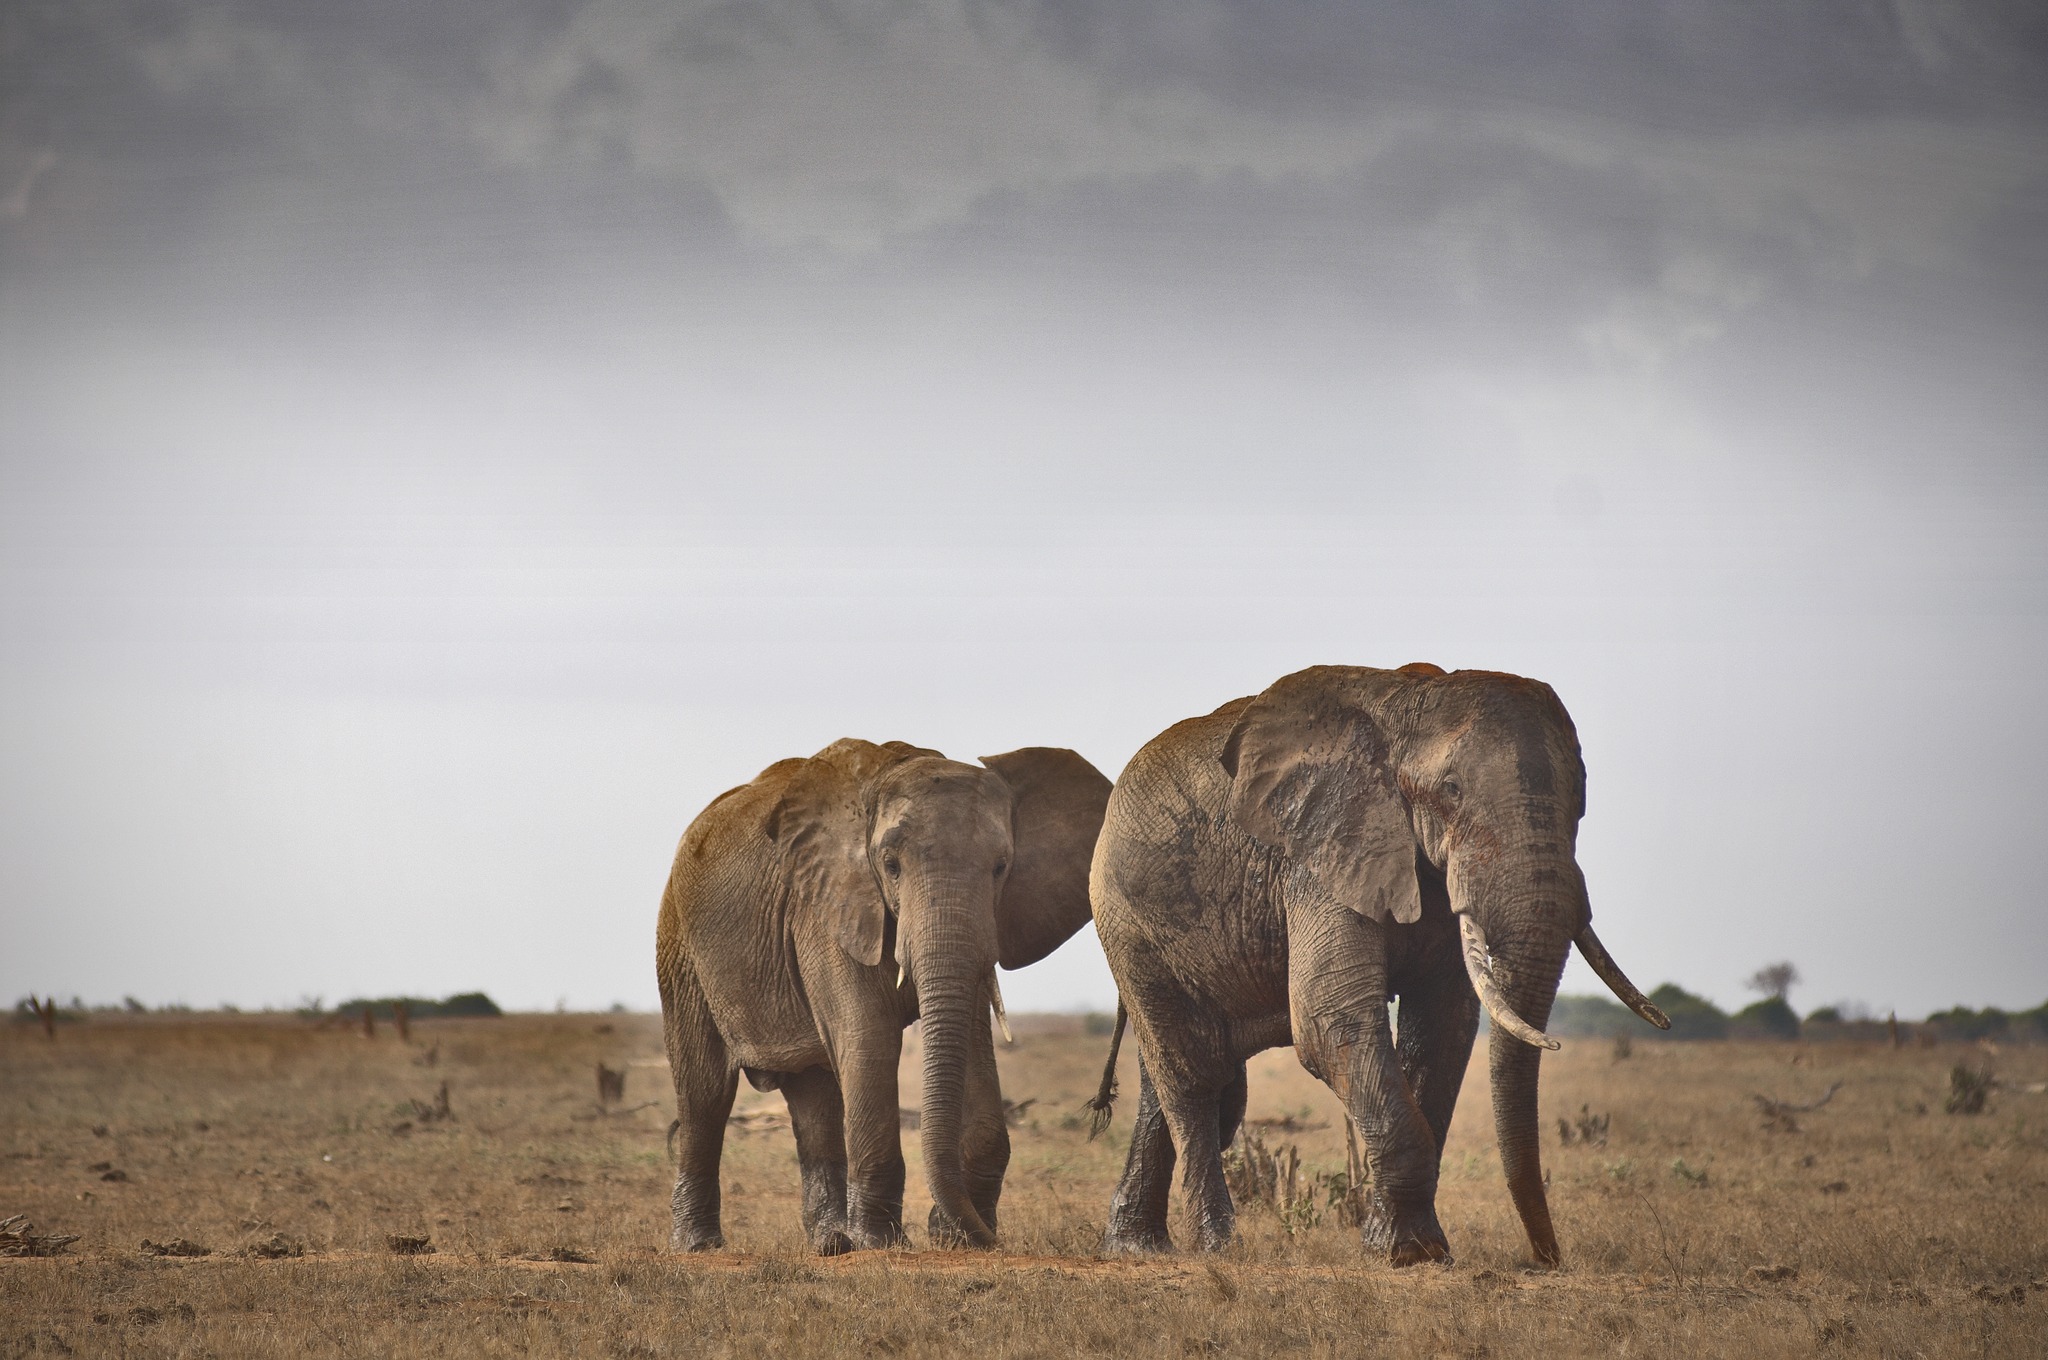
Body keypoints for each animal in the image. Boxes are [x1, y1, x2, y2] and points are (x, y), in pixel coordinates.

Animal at [651, 745, 1105, 1253]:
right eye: (890, 866)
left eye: (1001, 867)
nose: (990, 1241)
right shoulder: (829, 909)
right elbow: (870, 1039)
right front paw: (883, 1242)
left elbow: (971, 1042)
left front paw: (954, 1237)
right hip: (680, 946)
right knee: (705, 1092)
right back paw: (698, 1245)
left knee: (815, 1098)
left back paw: (831, 1242)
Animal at [1089, 663, 1662, 1269]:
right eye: (1451, 790)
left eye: (1581, 799)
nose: (1546, 1257)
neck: (1406, 707)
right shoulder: (1320, 854)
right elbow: (1328, 1019)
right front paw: (1409, 1252)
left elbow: (1443, 1026)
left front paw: (1409, 1247)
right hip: (1127, 923)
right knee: (1193, 1077)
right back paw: (1215, 1248)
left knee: (1173, 1082)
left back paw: (1137, 1247)